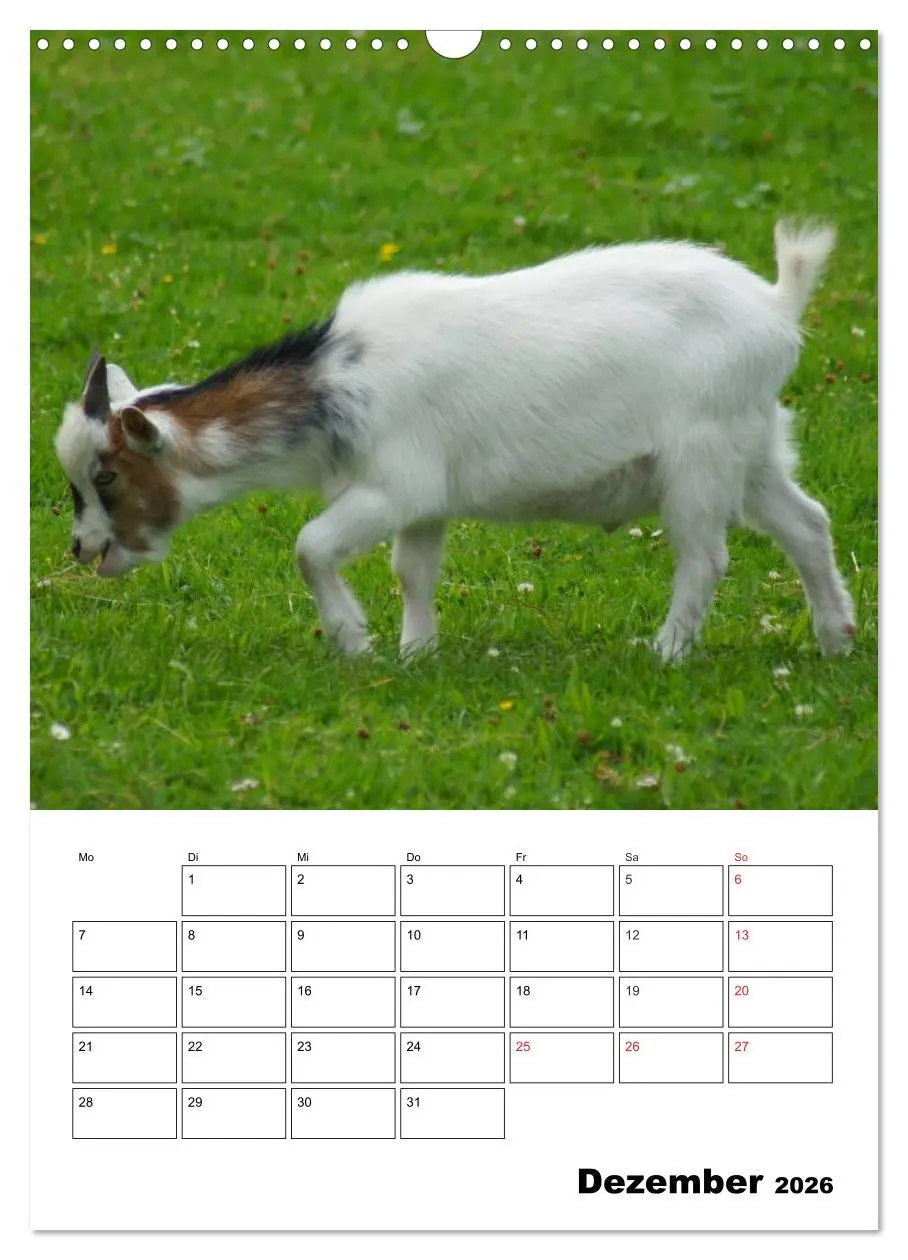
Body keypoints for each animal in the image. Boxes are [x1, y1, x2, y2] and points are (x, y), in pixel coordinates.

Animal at [55, 221, 856, 661]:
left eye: (108, 476)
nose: (82, 549)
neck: (335, 382)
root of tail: (776, 306)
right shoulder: (425, 502)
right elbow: (415, 571)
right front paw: (418, 652)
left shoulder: (393, 486)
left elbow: (311, 547)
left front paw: (356, 642)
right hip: (753, 445)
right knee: (807, 523)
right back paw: (836, 637)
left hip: (700, 455)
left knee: (704, 556)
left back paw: (665, 652)